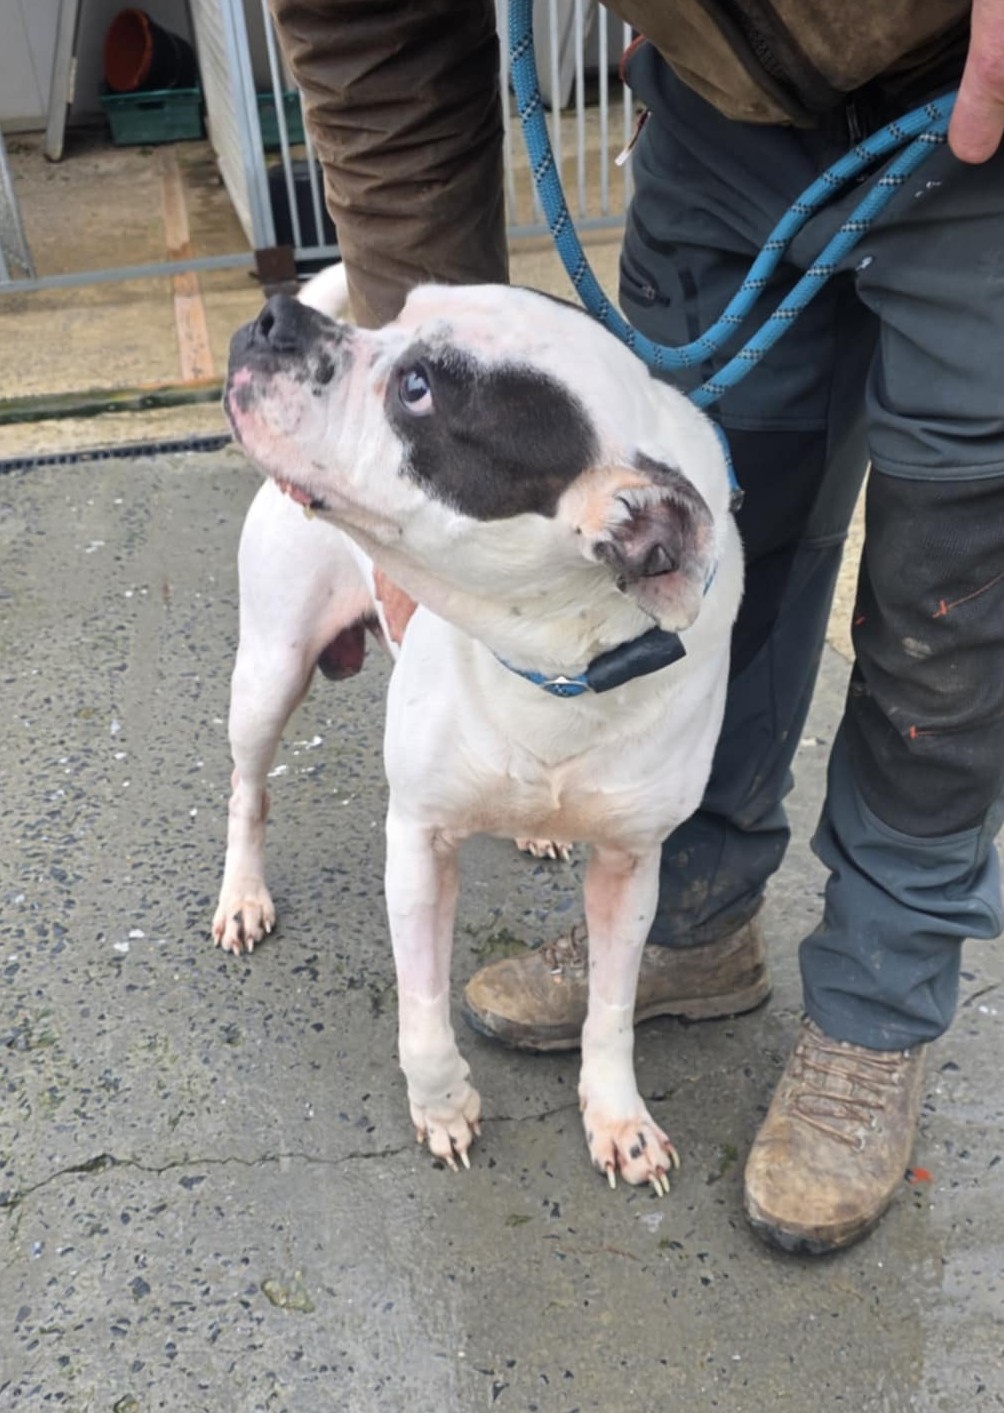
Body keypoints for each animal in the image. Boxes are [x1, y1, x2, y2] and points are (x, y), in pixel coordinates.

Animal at [217, 270, 743, 1194]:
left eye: (418, 389)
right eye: (394, 319)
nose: (276, 318)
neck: (558, 666)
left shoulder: (631, 864)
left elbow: (612, 1005)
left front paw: (619, 1117)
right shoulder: (419, 842)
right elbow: (423, 1002)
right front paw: (442, 1105)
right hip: (268, 673)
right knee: (248, 790)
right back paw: (242, 894)